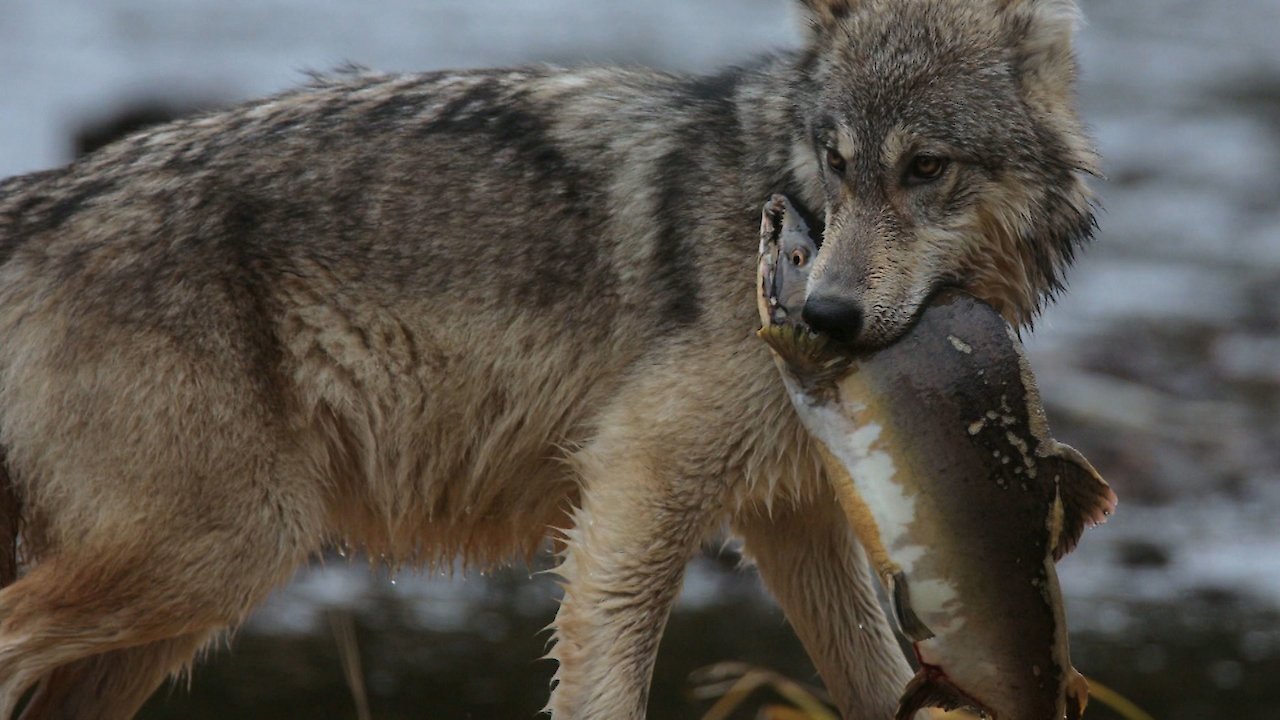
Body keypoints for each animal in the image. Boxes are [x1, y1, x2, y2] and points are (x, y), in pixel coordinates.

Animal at [0, 0, 1096, 717]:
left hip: (168, 619)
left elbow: (874, 679)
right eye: (836, 163)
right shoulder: (637, 481)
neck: (766, 190)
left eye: (925, 169)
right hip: (219, 557)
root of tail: (44, 199)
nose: (823, 314)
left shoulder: (789, 518)